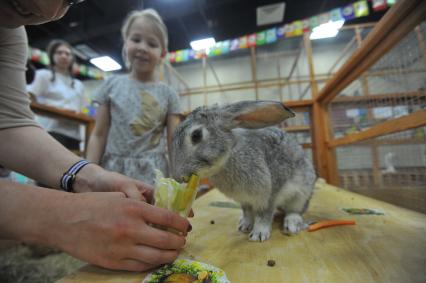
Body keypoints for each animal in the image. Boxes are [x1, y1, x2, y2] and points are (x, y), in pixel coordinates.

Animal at [171, 101, 316, 243]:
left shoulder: (268, 196)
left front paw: (258, 234)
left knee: (296, 210)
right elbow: (247, 213)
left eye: (196, 135)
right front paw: (245, 226)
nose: (178, 176)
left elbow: (264, 215)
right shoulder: (244, 201)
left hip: (301, 193)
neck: (227, 157)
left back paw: (291, 223)